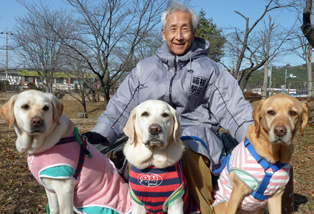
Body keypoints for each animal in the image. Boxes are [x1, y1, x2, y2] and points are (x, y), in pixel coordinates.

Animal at [0, 90, 132, 214]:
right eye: (25, 106)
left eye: (46, 108)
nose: (37, 121)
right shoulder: (50, 188)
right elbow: (53, 209)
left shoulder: (65, 187)